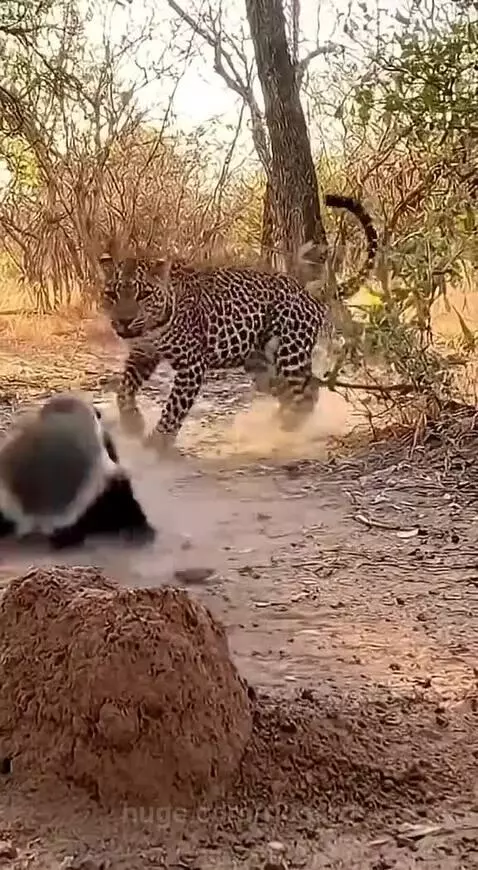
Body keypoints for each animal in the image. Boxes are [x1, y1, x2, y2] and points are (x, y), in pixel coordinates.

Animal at [99, 194, 378, 454]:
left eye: (144, 294)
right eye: (111, 294)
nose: (124, 321)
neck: (154, 328)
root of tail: (310, 292)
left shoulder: (191, 365)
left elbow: (174, 407)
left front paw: (157, 443)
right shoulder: (143, 354)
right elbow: (123, 390)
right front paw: (132, 423)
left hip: (290, 352)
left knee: (305, 394)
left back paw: (285, 428)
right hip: (262, 364)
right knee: (301, 390)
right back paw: (279, 422)